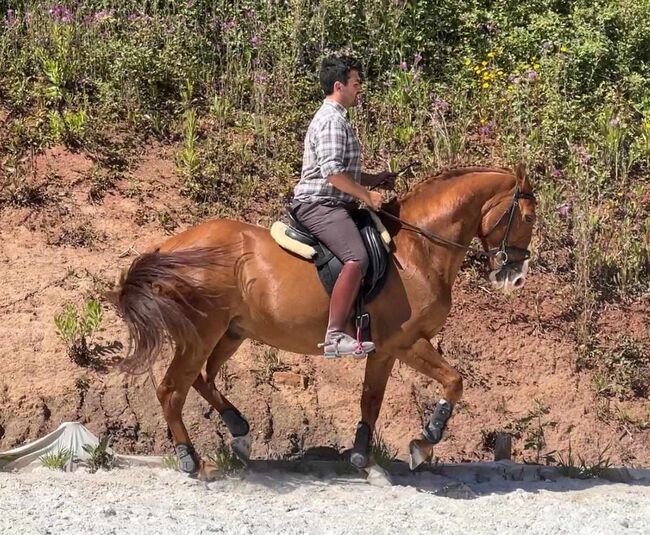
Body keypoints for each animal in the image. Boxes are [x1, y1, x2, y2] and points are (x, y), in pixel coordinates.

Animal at [110, 165, 536, 476]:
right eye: (528, 217)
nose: (515, 277)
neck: (419, 249)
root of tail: (169, 245)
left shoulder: (383, 350)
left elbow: (371, 400)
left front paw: (362, 456)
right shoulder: (407, 342)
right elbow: (455, 382)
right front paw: (424, 442)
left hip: (231, 332)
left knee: (203, 379)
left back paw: (239, 432)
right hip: (201, 333)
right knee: (172, 389)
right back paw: (190, 458)